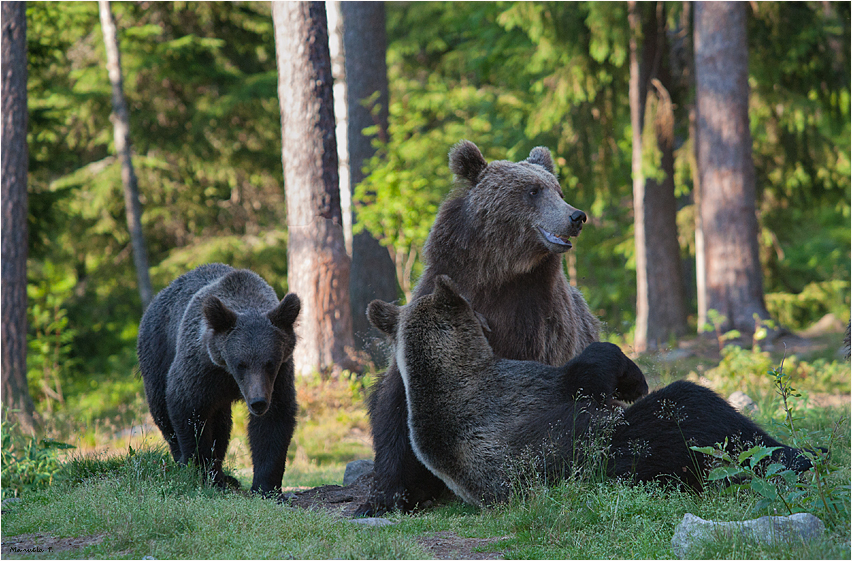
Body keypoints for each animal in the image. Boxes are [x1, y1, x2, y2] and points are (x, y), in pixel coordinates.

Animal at [138, 262, 302, 494]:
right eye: (241, 363)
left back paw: (225, 475)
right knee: (163, 412)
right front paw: (202, 472)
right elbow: (189, 410)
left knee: (222, 425)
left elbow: (274, 422)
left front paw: (266, 487)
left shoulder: (279, 377)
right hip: (157, 352)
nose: (258, 402)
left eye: (270, 363)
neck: (230, 378)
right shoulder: (202, 368)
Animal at [358, 140, 600, 516]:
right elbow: (395, 411)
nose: (576, 216)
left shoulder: (534, 327)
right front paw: (383, 497)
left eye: (558, 190)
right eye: (533, 190)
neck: (498, 276)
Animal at [366, 276, 812, 508]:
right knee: (693, 412)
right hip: (617, 456)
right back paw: (797, 456)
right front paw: (632, 377)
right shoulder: (516, 391)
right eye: (475, 308)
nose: (487, 319)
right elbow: (583, 377)